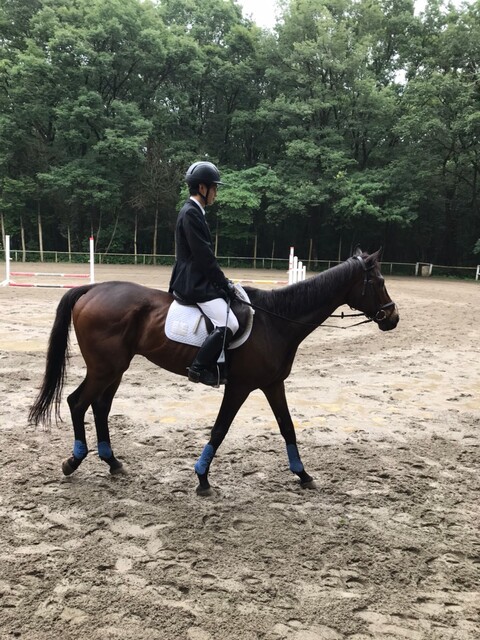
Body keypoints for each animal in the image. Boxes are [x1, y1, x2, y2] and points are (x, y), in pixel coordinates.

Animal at [29, 249, 399, 495]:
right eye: (379, 281)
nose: (393, 318)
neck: (275, 321)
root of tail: (90, 289)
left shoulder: (272, 384)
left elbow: (287, 427)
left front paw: (303, 474)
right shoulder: (240, 387)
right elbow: (220, 430)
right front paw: (202, 478)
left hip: (115, 369)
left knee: (100, 407)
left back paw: (112, 462)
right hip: (104, 368)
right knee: (78, 402)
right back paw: (74, 461)